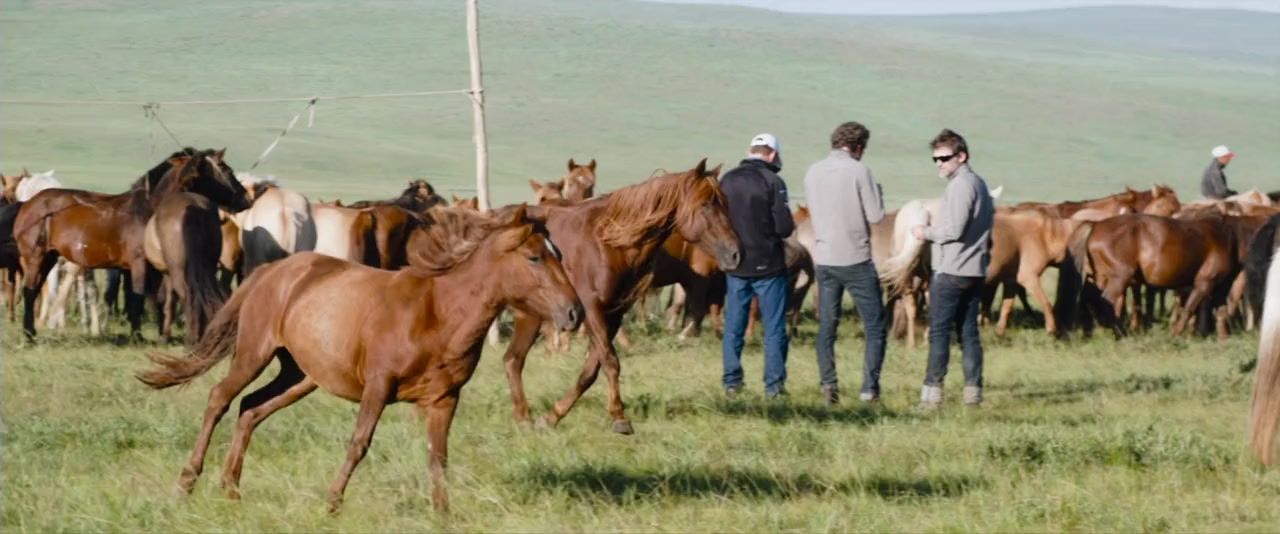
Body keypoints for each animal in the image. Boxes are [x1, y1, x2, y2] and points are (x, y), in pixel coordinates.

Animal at [13, 148, 252, 340]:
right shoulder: (139, 265)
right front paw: (137, 336)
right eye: (225, 170)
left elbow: (161, 300)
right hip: (35, 257)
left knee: (35, 290)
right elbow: (137, 299)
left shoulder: (157, 270)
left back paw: (31, 331)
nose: (246, 200)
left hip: (49, 257)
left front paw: (161, 334)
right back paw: (28, 334)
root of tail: (28, 204)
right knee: (29, 291)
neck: (149, 210)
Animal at [136, 204, 582, 514]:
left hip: (300, 376)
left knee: (250, 409)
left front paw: (443, 514)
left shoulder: (444, 399)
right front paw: (332, 503)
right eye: (534, 257)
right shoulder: (378, 386)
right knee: (220, 398)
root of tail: (270, 272)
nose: (574, 313)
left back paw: (231, 489)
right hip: (254, 353)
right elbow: (359, 444)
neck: (438, 314)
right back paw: (186, 483)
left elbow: (438, 458)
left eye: (559, 253)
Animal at [498, 159, 740, 434]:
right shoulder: (591, 310)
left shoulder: (613, 314)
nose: (735, 253)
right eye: (705, 205)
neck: (607, 242)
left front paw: (553, 416)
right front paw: (620, 417)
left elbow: (591, 369)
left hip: (529, 315)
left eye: (725, 203)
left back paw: (523, 417)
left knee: (512, 360)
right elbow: (611, 362)